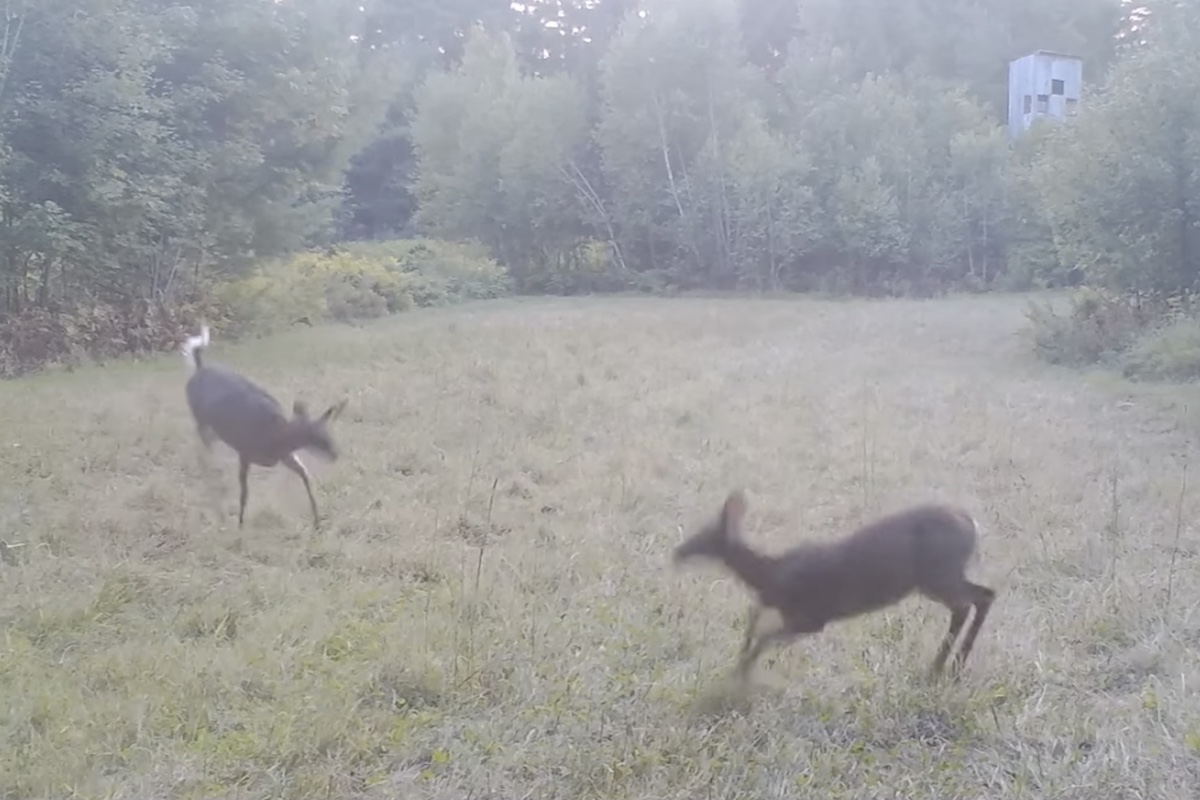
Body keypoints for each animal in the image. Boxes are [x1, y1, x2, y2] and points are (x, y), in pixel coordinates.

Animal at [181, 324, 347, 530]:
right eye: (313, 437)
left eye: (329, 431)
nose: (335, 454)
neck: (275, 437)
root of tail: (199, 368)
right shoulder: (244, 451)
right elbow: (244, 492)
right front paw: (240, 524)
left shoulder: (284, 456)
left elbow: (305, 475)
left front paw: (317, 521)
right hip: (201, 421)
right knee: (202, 449)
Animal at [673, 490, 995, 682]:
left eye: (703, 534)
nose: (677, 552)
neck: (772, 572)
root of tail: (972, 523)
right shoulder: (783, 609)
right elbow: (753, 622)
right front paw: (739, 664)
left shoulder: (814, 618)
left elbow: (763, 635)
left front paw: (739, 676)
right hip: (938, 578)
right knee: (982, 596)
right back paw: (952, 666)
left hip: (938, 574)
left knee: (970, 602)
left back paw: (943, 666)